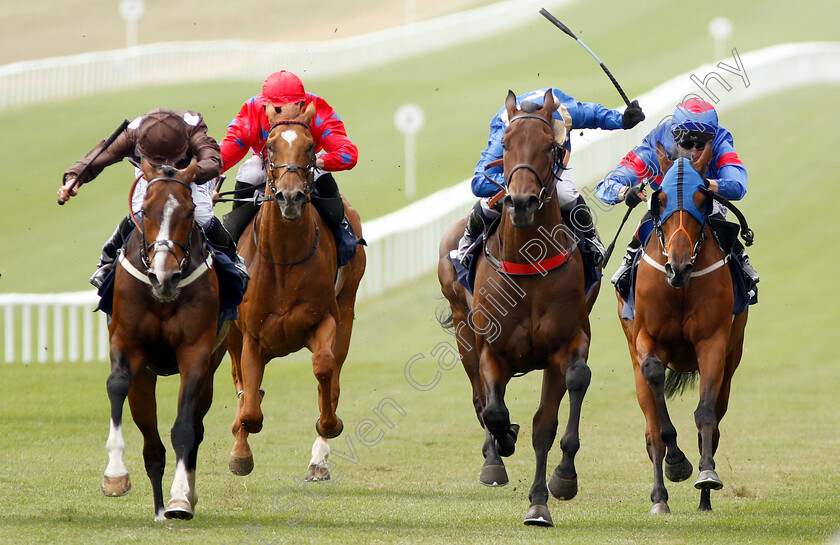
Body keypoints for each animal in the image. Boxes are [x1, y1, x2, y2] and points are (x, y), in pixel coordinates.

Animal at [102, 156, 230, 520]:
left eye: (189, 211)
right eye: (145, 210)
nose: (165, 276)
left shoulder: (196, 352)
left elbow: (185, 427)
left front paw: (180, 499)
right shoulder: (127, 343)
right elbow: (117, 384)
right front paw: (115, 475)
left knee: (194, 428)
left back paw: (177, 499)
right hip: (145, 378)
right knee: (152, 444)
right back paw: (158, 506)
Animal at [225, 100, 366, 478]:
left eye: (311, 146)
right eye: (270, 145)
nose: (290, 197)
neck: (284, 259)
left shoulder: (324, 319)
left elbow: (324, 368)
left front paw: (329, 427)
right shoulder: (251, 334)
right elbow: (249, 406)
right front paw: (241, 452)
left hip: (347, 309)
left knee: (333, 373)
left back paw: (319, 457)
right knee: (239, 381)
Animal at [440, 90, 592, 528]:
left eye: (550, 148)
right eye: (505, 145)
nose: (521, 202)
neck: (528, 263)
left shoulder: (568, 342)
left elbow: (551, 418)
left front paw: (547, 494)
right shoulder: (492, 349)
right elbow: (492, 410)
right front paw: (503, 441)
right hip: (464, 332)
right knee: (480, 398)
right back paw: (494, 456)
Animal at [616, 142, 748, 512]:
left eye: (702, 199)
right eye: (658, 199)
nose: (678, 267)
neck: (680, 288)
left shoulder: (713, 342)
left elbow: (706, 413)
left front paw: (706, 474)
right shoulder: (646, 338)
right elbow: (654, 379)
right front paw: (676, 462)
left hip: (732, 360)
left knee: (715, 422)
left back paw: (704, 500)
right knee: (651, 431)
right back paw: (660, 497)